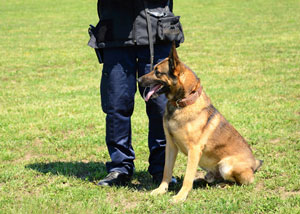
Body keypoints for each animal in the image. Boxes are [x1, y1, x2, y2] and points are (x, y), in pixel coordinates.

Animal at [138, 43, 262, 202]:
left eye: (157, 72)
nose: (138, 80)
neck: (181, 103)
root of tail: (253, 164)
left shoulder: (194, 150)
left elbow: (187, 177)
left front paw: (180, 197)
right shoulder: (171, 146)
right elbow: (166, 171)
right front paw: (161, 190)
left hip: (226, 165)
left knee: (237, 182)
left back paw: (223, 185)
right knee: (211, 178)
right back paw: (202, 180)